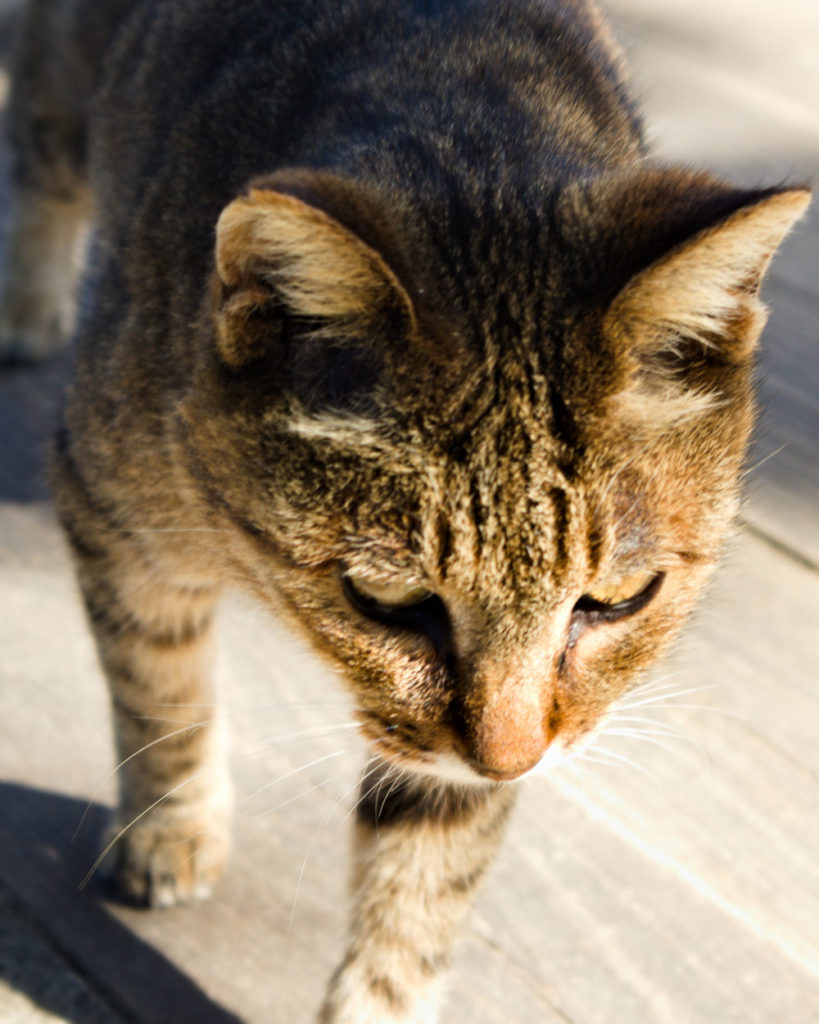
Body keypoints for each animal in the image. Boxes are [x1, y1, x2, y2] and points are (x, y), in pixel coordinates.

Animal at [0, 2, 806, 1024]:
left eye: (618, 601)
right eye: (386, 603)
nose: (512, 766)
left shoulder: (458, 756)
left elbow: (424, 872)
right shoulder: (112, 509)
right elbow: (159, 686)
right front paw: (170, 827)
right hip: (63, 94)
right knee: (37, 150)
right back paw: (24, 303)